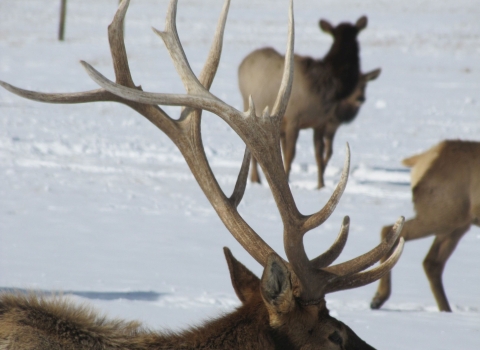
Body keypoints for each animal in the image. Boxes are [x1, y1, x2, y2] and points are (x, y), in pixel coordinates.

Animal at [237, 15, 376, 189]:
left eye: (355, 33)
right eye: (336, 35)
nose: (360, 98)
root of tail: (242, 63)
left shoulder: (320, 123)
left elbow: (319, 155)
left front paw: (321, 185)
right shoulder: (293, 119)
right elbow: (290, 155)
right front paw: (288, 179)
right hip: (248, 104)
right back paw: (256, 179)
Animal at [372, 139, 480, 312]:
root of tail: (423, 158)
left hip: (456, 223)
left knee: (432, 262)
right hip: (443, 215)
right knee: (390, 230)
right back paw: (379, 298)